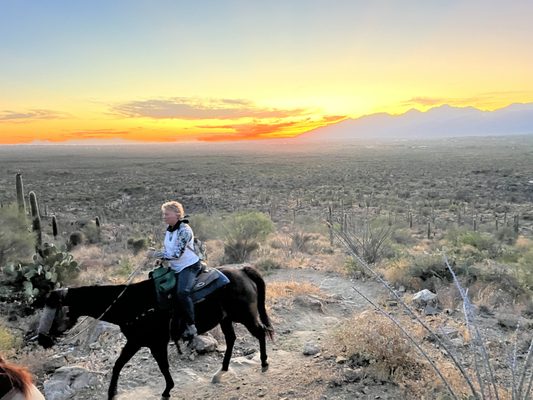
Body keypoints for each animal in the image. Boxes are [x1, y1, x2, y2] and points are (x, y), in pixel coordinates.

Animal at [36, 266, 274, 400]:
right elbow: (118, 364)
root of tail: (243, 271)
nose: (41, 339)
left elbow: (162, 366)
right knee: (232, 339)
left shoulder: (154, 342)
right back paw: (221, 371)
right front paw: (112, 393)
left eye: (54, 310)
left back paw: (264, 362)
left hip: (245, 315)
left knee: (260, 332)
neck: (131, 304)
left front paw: (167, 389)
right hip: (226, 319)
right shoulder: (135, 341)